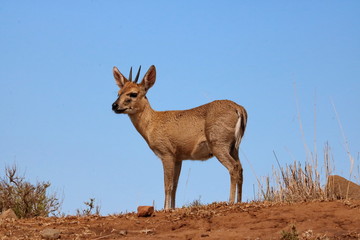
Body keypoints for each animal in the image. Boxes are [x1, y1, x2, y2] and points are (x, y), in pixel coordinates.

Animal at [112, 65, 248, 210]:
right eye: (118, 93)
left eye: (133, 93)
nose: (114, 105)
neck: (152, 124)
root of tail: (239, 109)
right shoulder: (179, 157)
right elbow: (175, 185)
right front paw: (172, 207)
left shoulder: (166, 153)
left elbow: (167, 184)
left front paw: (166, 208)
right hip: (234, 147)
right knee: (240, 168)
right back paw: (239, 201)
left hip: (218, 144)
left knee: (233, 167)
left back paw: (231, 202)